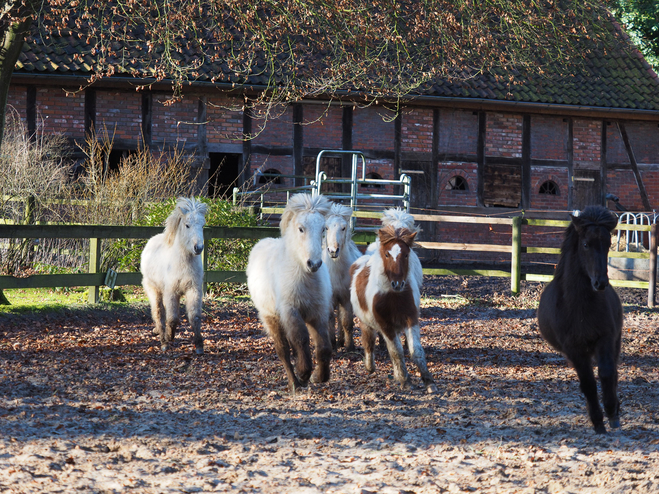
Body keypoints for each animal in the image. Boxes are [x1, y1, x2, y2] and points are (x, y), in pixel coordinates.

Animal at [141, 197, 209, 356]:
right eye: (187, 225)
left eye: (202, 225)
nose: (198, 248)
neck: (183, 264)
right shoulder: (171, 292)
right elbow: (172, 318)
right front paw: (168, 339)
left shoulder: (193, 290)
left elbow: (194, 317)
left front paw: (199, 346)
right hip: (154, 289)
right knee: (158, 312)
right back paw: (163, 341)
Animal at [246, 193, 332, 394]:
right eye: (301, 229)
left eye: (323, 229)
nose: (314, 264)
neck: (304, 277)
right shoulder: (290, 311)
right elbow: (301, 339)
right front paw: (304, 373)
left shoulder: (318, 313)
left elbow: (323, 346)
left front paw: (319, 376)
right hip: (271, 317)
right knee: (283, 350)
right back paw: (294, 383)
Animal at [324, 204, 364, 352]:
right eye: (326, 227)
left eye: (343, 228)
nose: (333, 251)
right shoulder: (329, 299)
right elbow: (330, 320)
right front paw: (331, 345)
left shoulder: (347, 299)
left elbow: (347, 322)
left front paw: (350, 346)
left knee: (341, 319)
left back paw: (341, 341)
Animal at [350, 225, 438, 394]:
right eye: (386, 254)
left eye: (406, 254)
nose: (397, 284)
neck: (393, 296)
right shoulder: (385, 325)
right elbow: (396, 352)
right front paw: (405, 381)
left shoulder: (411, 319)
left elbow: (415, 350)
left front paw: (429, 382)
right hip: (366, 323)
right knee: (369, 342)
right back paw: (370, 367)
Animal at [536, 205, 624, 432]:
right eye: (585, 244)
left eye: (608, 244)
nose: (600, 283)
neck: (580, 307)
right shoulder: (574, 349)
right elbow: (588, 383)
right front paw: (598, 422)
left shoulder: (605, 339)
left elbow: (607, 373)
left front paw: (612, 413)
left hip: (615, 343)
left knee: (614, 373)